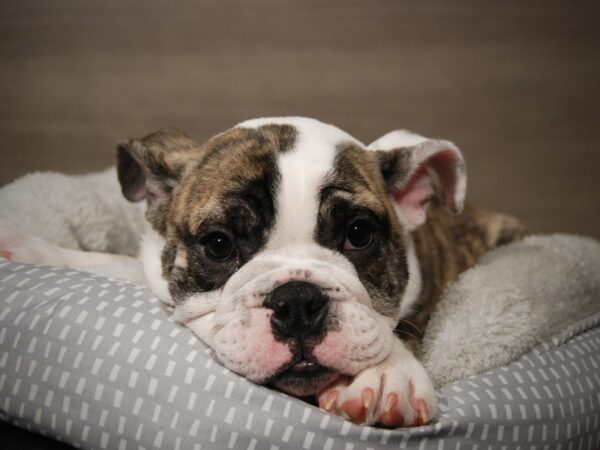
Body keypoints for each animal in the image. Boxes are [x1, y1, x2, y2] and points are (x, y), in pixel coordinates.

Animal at [0, 118, 524, 428]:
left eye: (358, 234)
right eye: (218, 244)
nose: (298, 300)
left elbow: (399, 331)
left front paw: (385, 374)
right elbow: (112, 264)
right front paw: (31, 249)